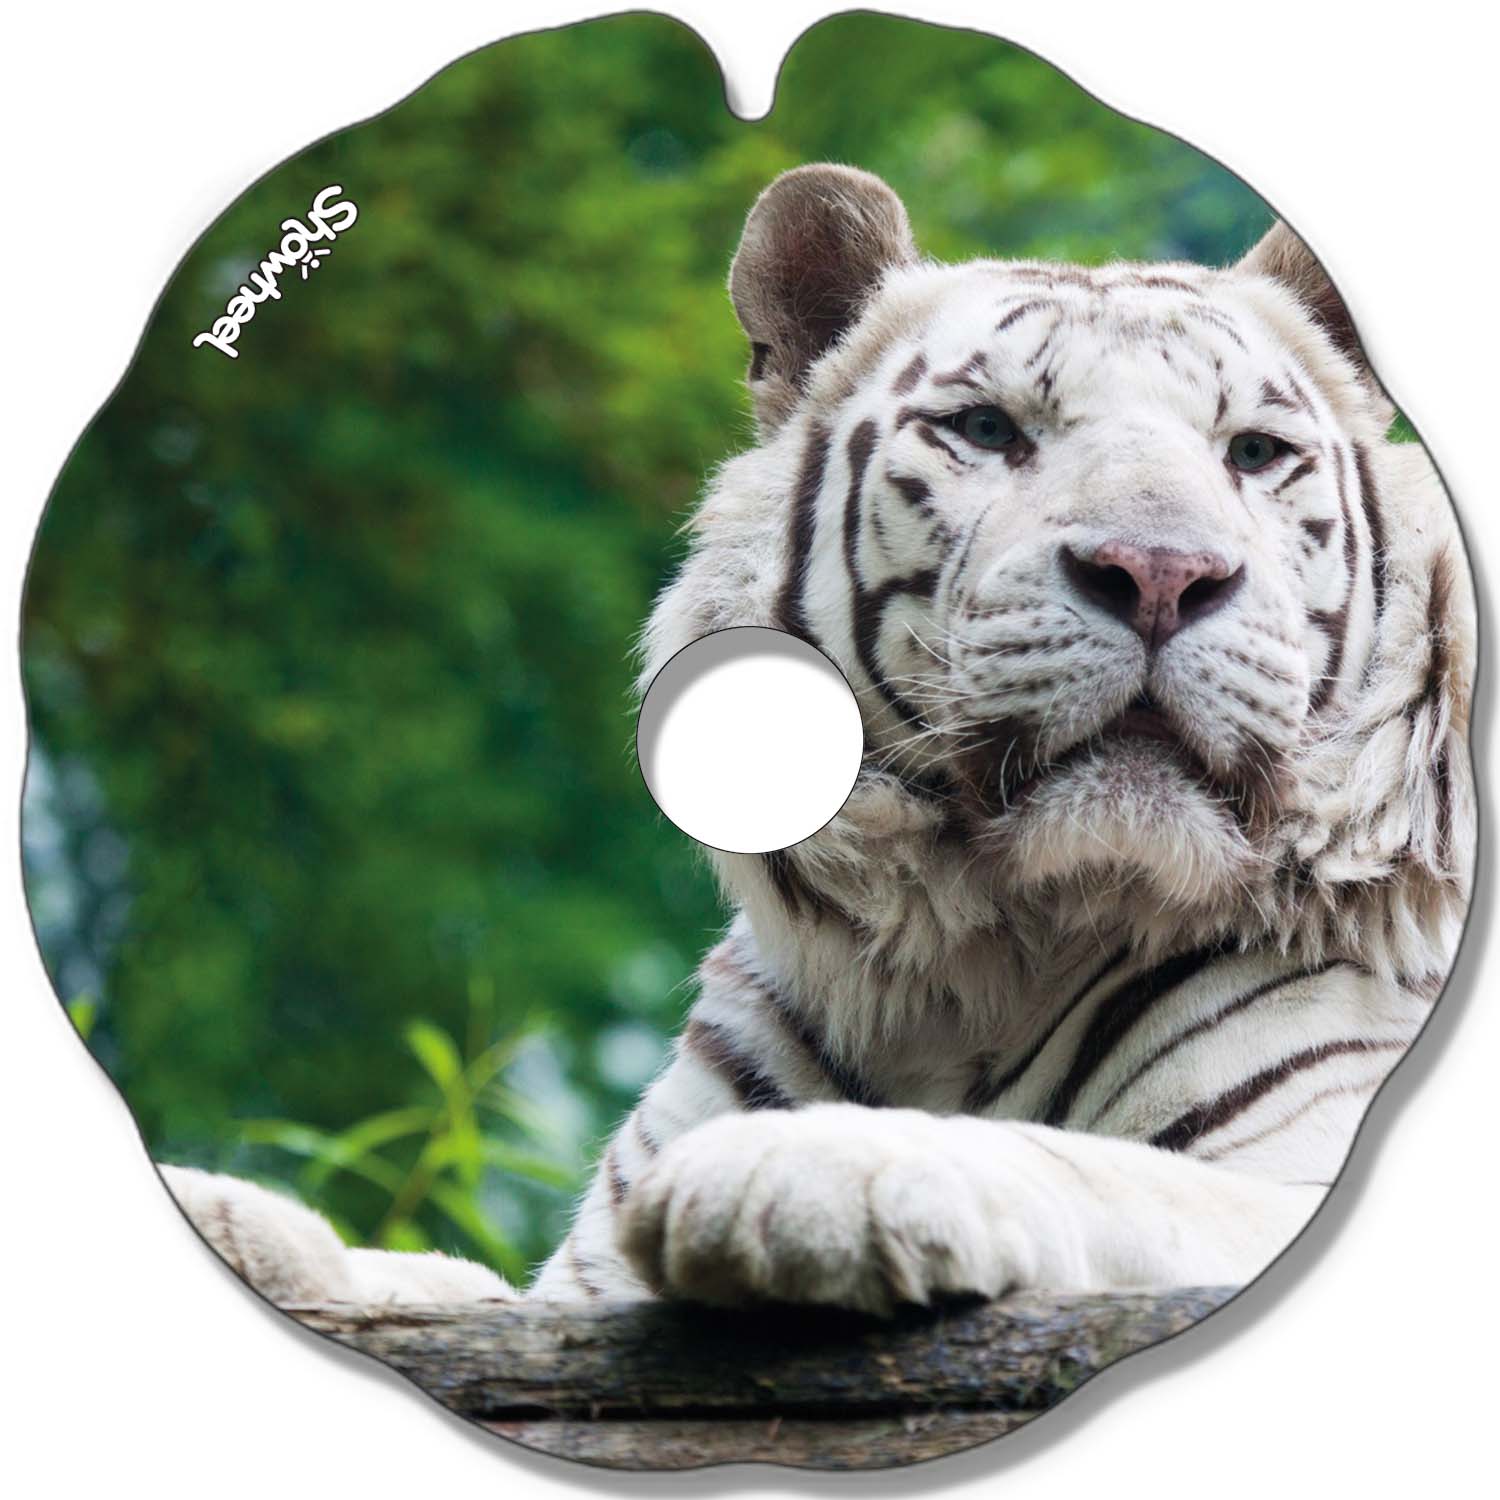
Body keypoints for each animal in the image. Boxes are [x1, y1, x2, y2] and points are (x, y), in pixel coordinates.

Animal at [163, 162, 1475, 1318]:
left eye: (1253, 452)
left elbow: (1101, 1173)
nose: (1158, 574)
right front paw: (228, 1215)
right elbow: (435, 1284)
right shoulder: (572, 1288)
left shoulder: (1288, 1171)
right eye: (986, 428)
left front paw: (801, 1172)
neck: (970, 972)